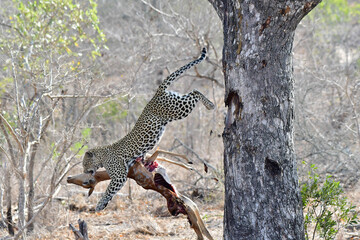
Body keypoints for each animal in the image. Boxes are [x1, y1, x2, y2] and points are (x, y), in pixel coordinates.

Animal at [83, 47, 214, 211]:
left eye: (85, 164)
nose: (84, 173)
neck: (102, 156)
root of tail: (156, 93)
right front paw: (103, 204)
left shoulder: (119, 176)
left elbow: (108, 190)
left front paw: (100, 204)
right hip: (177, 104)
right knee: (193, 91)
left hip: (178, 109)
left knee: (195, 91)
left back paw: (210, 105)